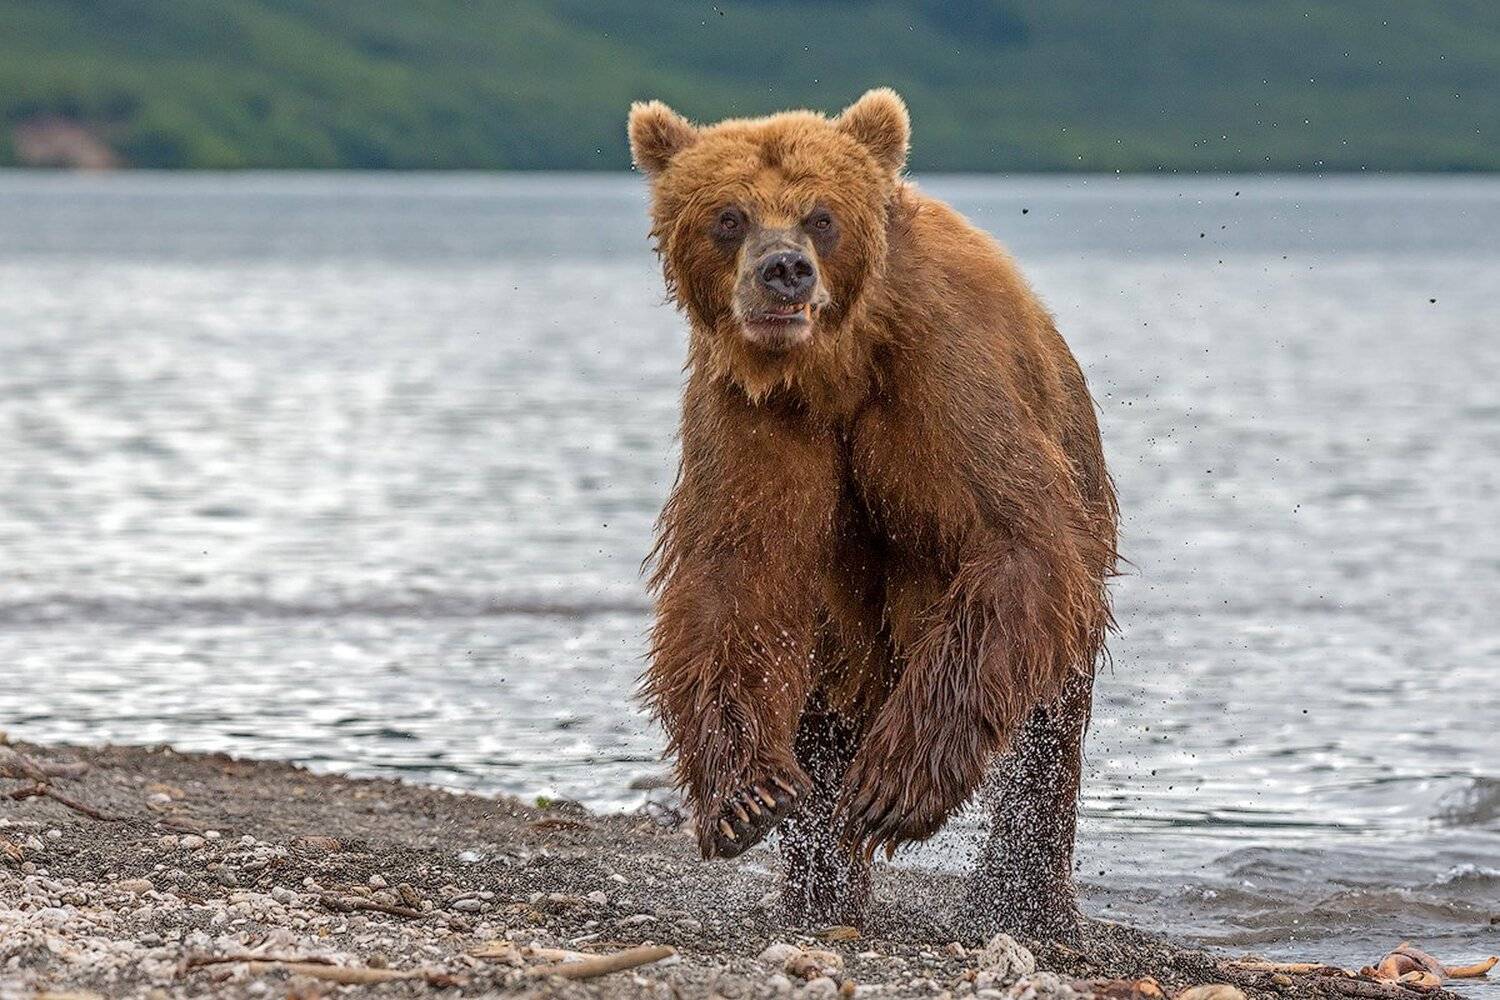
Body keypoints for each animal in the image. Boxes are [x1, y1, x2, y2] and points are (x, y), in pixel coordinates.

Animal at [628, 88, 1118, 940]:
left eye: (820, 215)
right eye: (729, 215)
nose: (784, 270)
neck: (835, 365)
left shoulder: (946, 379)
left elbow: (1011, 537)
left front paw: (894, 789)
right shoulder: (754, 415)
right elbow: (738, 574)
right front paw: (746, 796)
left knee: (1047, 737)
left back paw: (1021, 901)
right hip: (840, 642)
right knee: (818, 715)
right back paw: (817, 890)